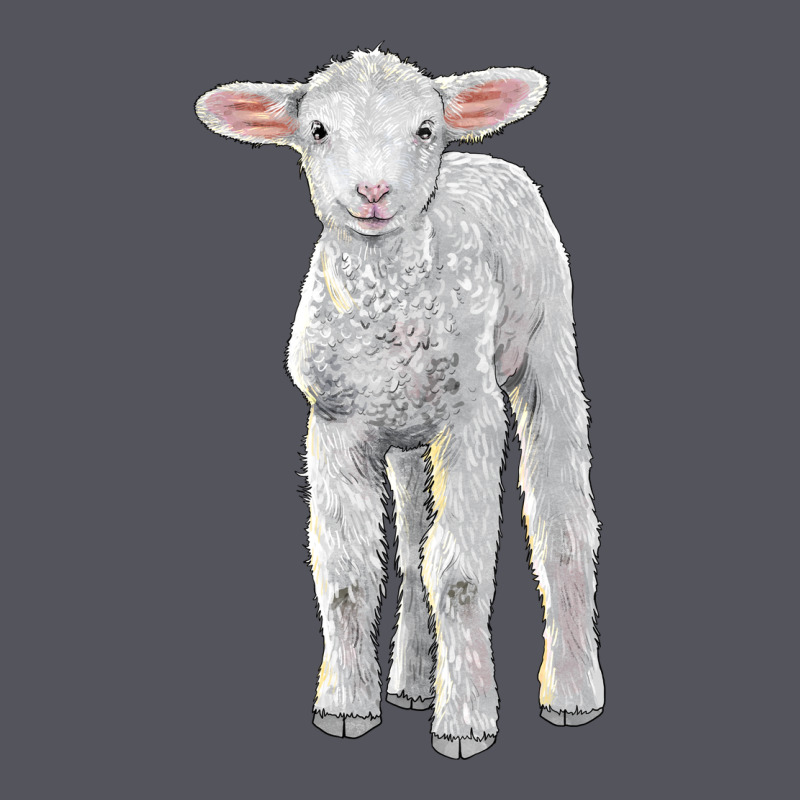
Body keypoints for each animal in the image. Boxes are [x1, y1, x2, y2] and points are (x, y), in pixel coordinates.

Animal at [196, 48, 604, 759]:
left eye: (423, 129)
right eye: (318, 129)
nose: (373, 192)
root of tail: (480, 159)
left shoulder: (472, 419)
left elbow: (461, 574)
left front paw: (466, 722)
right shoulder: (334, 424)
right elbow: (347, 574)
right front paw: (345, 706)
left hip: (547, 345)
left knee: (560, 521)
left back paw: (572, 691)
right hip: (407, 433)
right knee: (414, 541)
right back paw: (412, 683)